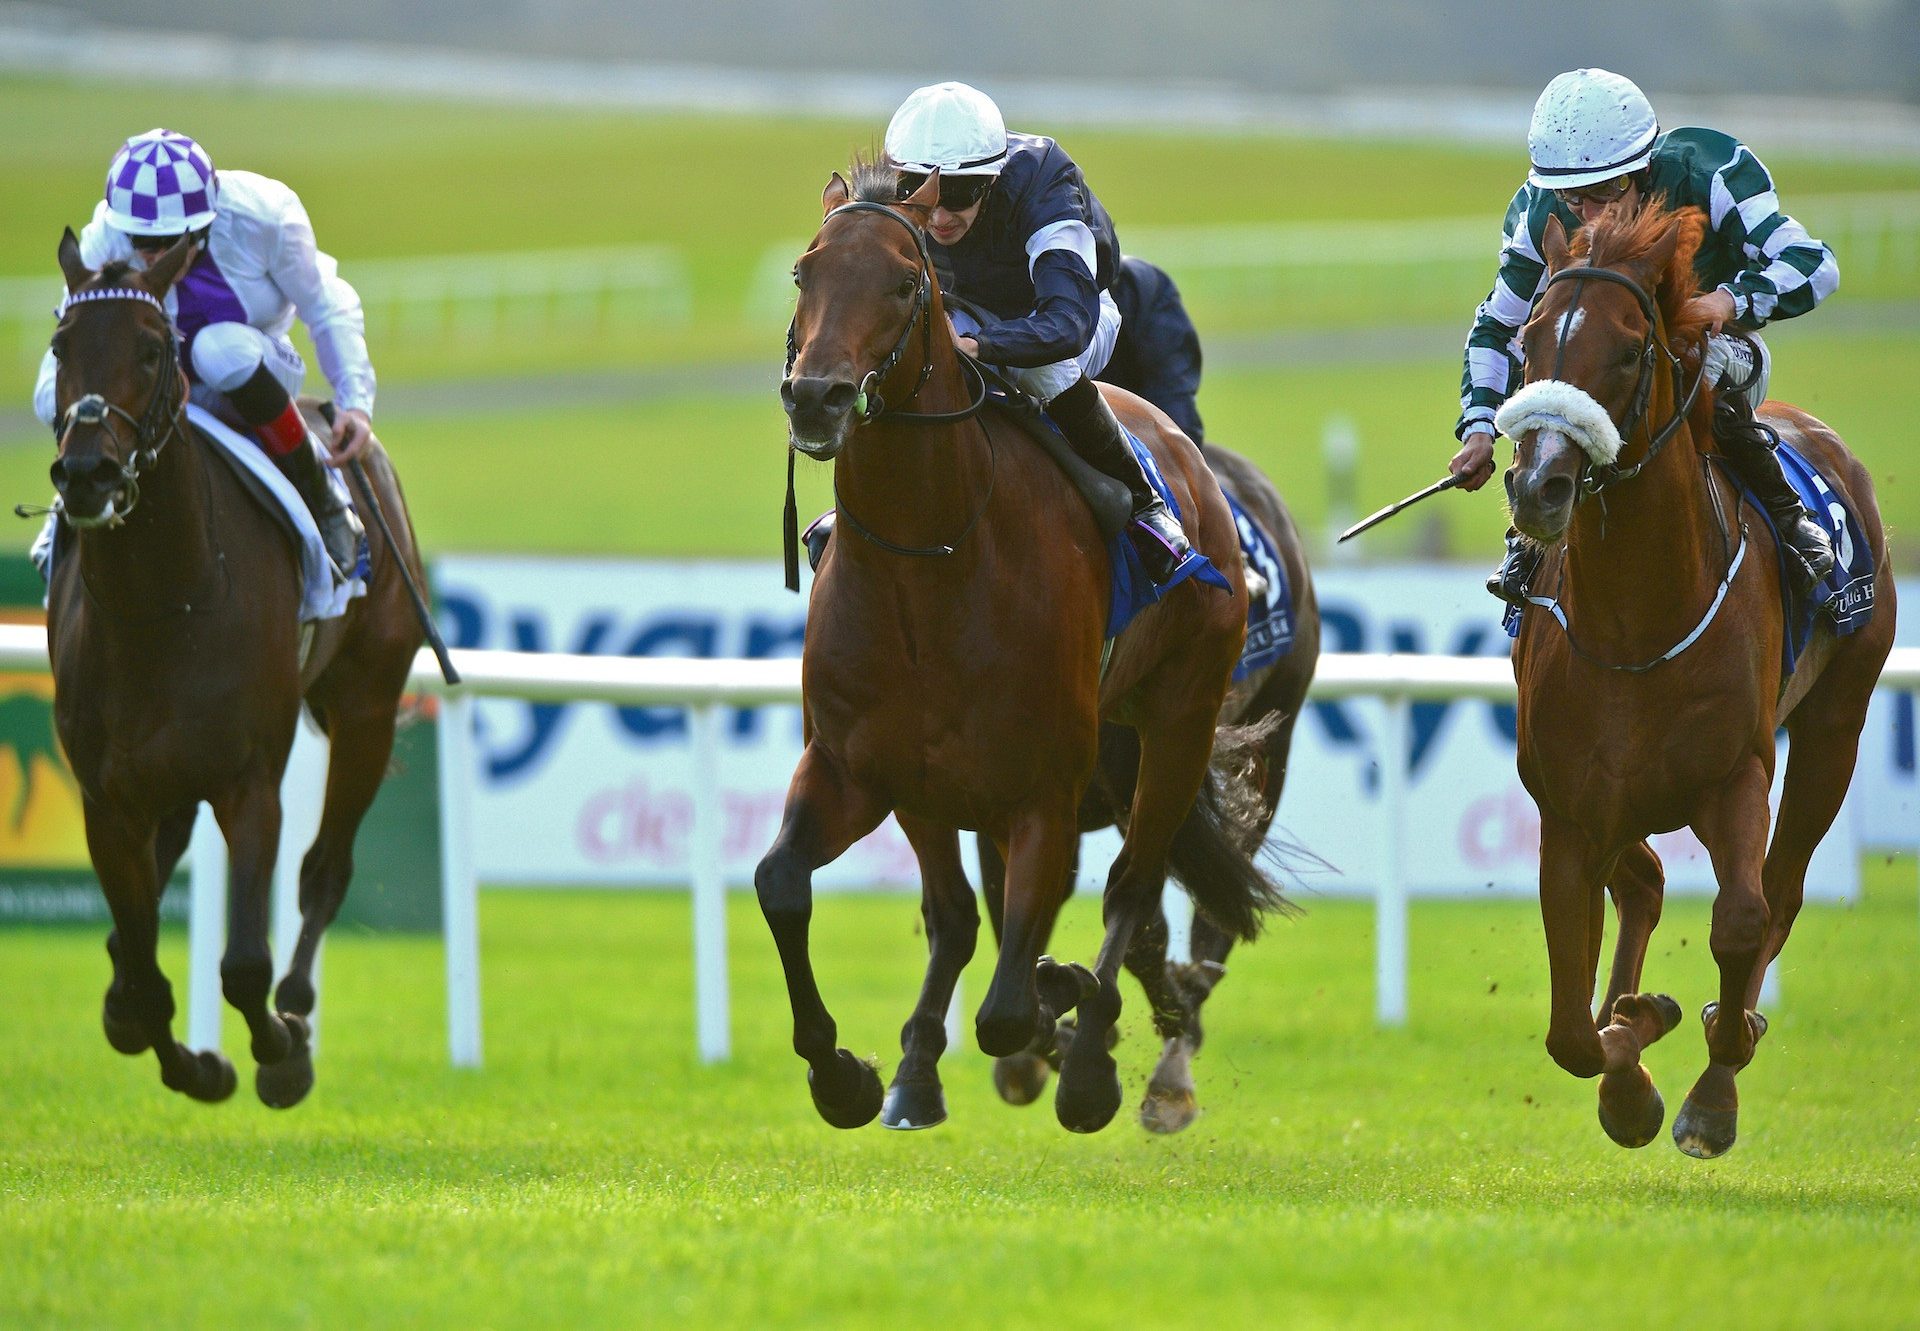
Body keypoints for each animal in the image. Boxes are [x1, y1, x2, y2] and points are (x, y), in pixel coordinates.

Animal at [42, 231, 424, 1113]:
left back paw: (299, 1007)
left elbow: (244, 962)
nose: (87, 474)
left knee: (325, 871)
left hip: (367, 702)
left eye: (151, 350)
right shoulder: (108, 798)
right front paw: (196, 1063)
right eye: (61, 345)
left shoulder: (250, 780)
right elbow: (142, 976)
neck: (164, 603)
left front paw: (281, 1051)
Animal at [756, 161, 1282, 1129]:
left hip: (1180, 718)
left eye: (904, 283)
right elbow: (787, 884)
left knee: (1134, 882)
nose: (815, 397)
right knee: (974, 912)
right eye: (805, 272)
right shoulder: (861, 766)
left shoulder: (1045, 790)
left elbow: (1008, 1006)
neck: (929, 562)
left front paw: (1067, 1015)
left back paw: (1091, 1057)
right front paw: (846, 1074)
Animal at [975, 441, 1320, 1129]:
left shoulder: (1148, 776)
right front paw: (1045, 1040)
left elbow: (1146, 926)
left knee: (1215, 910)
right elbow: (1010, 907)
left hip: (1269, 737)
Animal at [1497, 202, 1889, 1160]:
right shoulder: (1572, 806)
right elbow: (1571, 1028)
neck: (1635, 620)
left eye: (1630, 348)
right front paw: (1630, 1059)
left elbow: (1743, 919)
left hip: (1835, 727)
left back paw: (1724, 1036)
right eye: (1529, 340)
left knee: (1780, 893)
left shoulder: (1734, 776)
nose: (1540, 485)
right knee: (1642, 884)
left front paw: (1711, 1080)